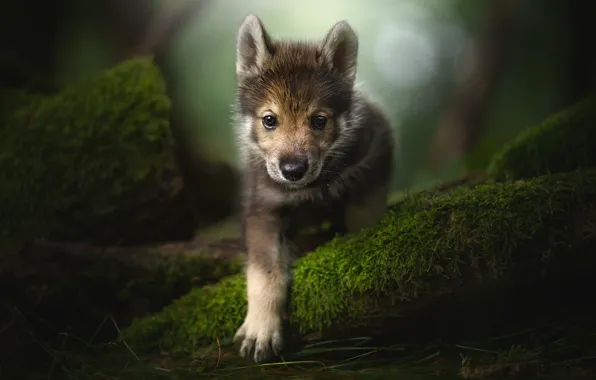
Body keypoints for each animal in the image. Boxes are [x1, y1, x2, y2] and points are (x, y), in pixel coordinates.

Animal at [233, 12, 396, 362]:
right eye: (269, 120)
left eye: (319, 121)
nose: (293, 170)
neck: (310, 190)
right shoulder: (263, 208)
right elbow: (264, 272)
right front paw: (261, 329)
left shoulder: (376, 148)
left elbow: (363, 214)